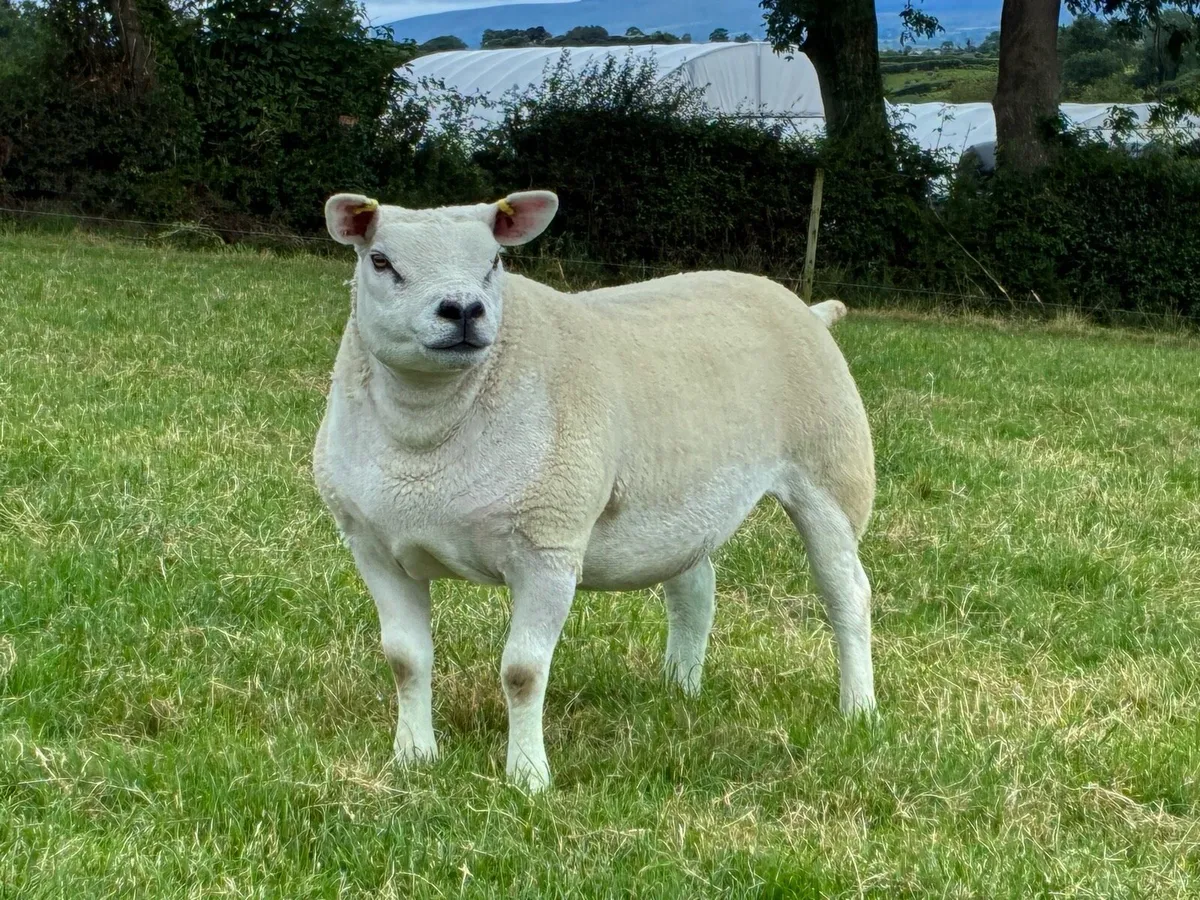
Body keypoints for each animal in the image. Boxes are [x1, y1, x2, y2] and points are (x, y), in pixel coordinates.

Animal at [313, 190, 876, 791]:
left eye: (495, 261)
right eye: (380, 261)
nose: (463, 310)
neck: (427, 437)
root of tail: (809, 309)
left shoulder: (549, 546)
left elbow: (522, 672)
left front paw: (528, 778)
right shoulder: (374, 547)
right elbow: (405, 660)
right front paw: (413, 758)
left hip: (833, 471)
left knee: (848, 595)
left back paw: (859, 710)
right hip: (679, 500)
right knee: (695, 587)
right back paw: (681, 689)